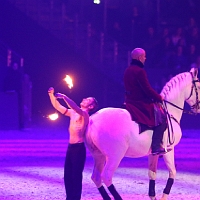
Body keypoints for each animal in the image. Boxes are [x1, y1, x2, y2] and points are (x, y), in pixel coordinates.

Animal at [84, 68, 200, 199]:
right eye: (199, 87)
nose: (198, 108)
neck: (169, 112)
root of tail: (92, 120)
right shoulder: (169, 150)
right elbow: (173, 172)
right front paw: (164, 196)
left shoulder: (153, 153)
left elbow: (152, 174)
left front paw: (153, 196)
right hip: (115, 156)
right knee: (106, 176)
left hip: (98, 155)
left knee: (96, 177)